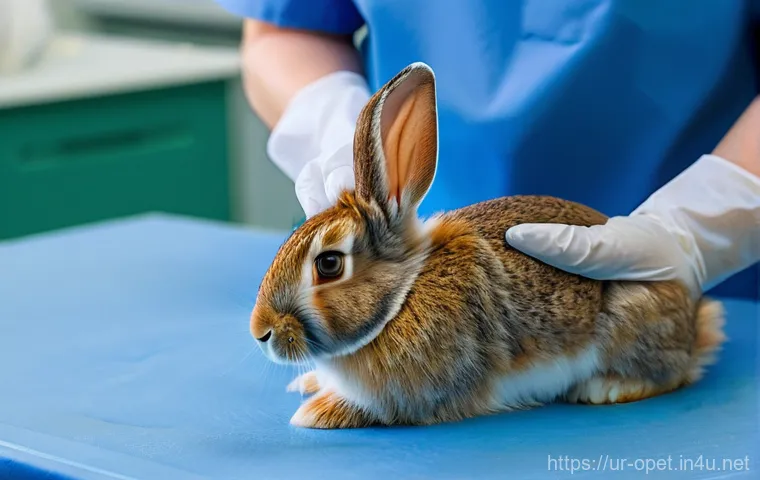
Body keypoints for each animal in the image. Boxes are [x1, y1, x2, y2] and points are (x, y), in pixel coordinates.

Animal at [250, 62, 726, 429]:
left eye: (329, 264)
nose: (261, 332)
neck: (401, 297)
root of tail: (692, 319)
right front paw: (310, 385)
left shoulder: (422, 393)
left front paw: (317, 411)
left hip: (630, 318)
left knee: (669, 373)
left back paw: (605, 387)